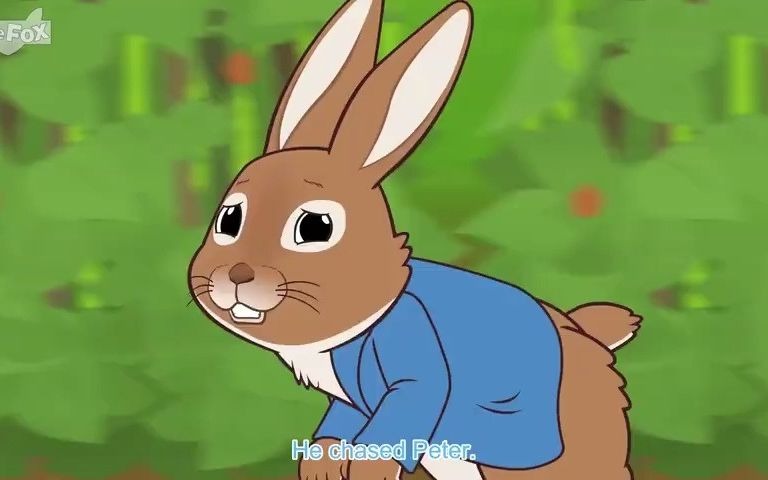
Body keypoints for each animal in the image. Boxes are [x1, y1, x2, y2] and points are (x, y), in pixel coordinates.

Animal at [187, 1, 642, 479]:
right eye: (229, 219)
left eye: (315, 228)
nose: (237, 274)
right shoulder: (351, 404)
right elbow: (339, 426)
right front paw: (321, 467)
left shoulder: (411, 360)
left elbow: (401, 416)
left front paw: (366, 472)